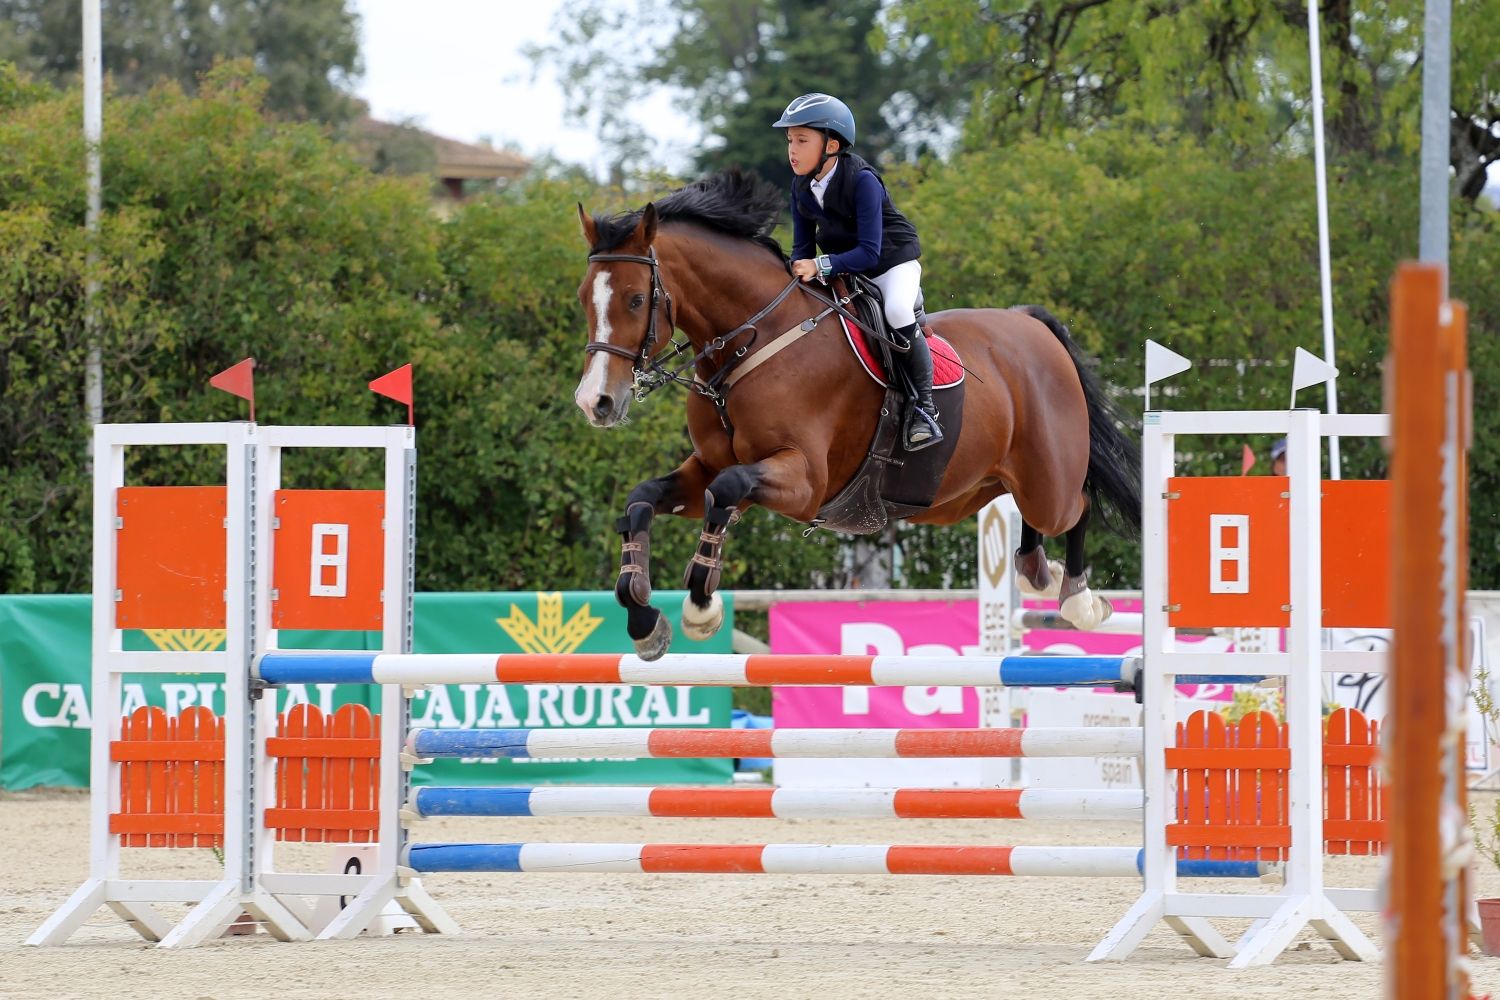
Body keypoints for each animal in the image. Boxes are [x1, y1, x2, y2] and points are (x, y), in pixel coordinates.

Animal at [573, 167, 1134, 659]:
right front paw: (643, 618)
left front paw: (700, 606)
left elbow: (726, 491)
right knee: (1032, 519)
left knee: (1078, 506)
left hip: (1047, 481)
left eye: (636, 299)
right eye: (583, 299)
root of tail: (1031, 325)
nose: (595, 402)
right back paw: (1038, 569)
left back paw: (1077, 597)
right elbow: (645, 498)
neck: (753, 339)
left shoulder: (804, 482)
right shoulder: (708, 467)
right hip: (975, 487)